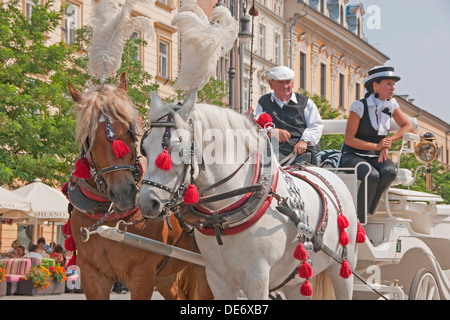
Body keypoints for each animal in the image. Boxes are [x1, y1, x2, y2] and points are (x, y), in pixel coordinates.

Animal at [66, 73, 214, 300]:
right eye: (89, 138)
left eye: (130, 130)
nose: (123, 193)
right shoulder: (92, 277)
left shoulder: (142, 275)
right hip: (167, 275)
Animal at [137, 90, 358, 300]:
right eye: (144, 147)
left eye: (179, 149)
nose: (147, 202)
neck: (222, 218)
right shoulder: (217, 278)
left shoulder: (257, 277)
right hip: (295, 280)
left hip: (342, 268)